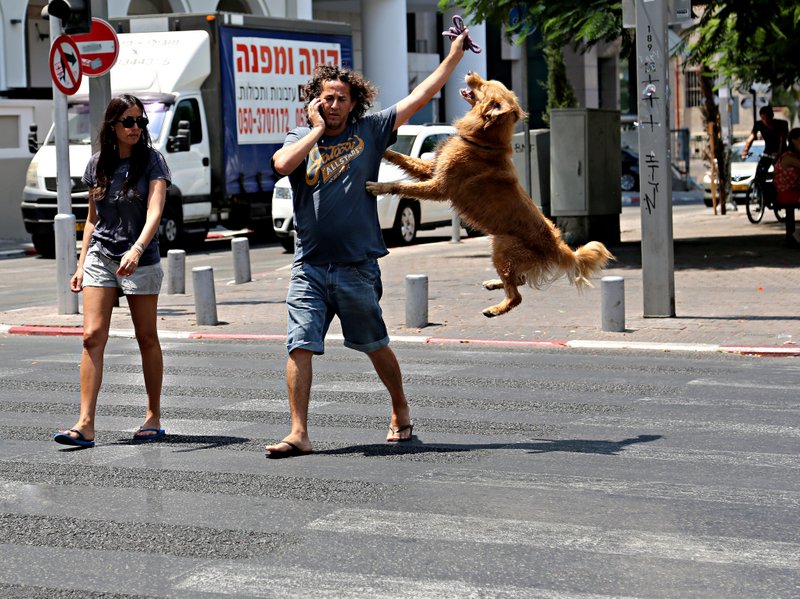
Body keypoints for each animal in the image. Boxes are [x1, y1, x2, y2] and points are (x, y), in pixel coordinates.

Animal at [366, 71, 616, 318]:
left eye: (484, 85)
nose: (469, 72)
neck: (482, 141)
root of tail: (558, 245)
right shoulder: (432, 169)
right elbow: (404, 159)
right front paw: (385, 150)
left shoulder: (439, 187)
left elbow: (401, 185)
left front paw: (379, 186)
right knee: (519, 280)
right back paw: (495, 284)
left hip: (501, 248)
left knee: (516, 295)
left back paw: (494, 309)